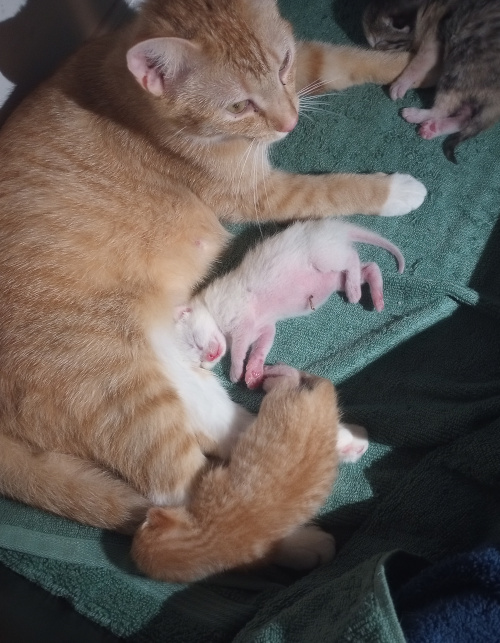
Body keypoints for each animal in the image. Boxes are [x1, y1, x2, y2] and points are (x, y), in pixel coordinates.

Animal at [0, 0, 422, 580]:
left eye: (282, 64)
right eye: (239, 105)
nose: (290, 122)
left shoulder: (305, 65)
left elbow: (337, 59)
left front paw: (413, 64)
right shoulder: (261, 195)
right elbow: (335, 188)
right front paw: (397, 190)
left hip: (171, 373)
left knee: (224, 433)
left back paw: (331, 436)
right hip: (121, 395)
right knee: (187, 504)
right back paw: (293, 541)